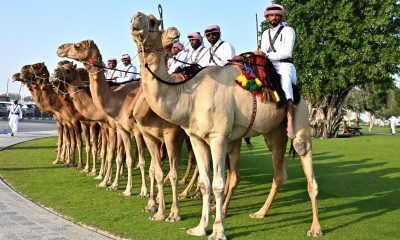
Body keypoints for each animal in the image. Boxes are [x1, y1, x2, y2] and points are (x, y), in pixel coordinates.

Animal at [127, 13, 322, 240]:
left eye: (152, 21)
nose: (135, 19)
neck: (190, 95)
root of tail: (301, 95)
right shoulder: (196, 137)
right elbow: (205, 184)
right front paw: (199, 227)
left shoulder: (218, 137)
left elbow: (218, 185)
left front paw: (218, 231)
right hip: (274, 133)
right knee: (279, 172)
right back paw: (260, 212)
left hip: (301, 118)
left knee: (304, 156)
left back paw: (315, 228)